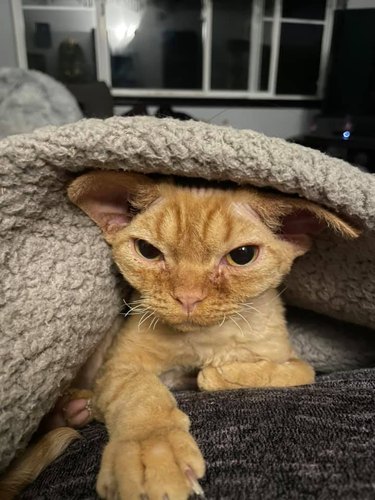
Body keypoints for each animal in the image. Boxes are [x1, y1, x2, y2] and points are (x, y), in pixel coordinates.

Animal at [0, 170, 362, 498]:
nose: (188, 298)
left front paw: (220, 373)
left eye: (242, 256)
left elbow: (301, 371)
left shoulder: (282, 353)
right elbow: (141, 393)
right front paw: (152, 454)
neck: (204, 341)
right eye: (148, 251)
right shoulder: (120, 365)